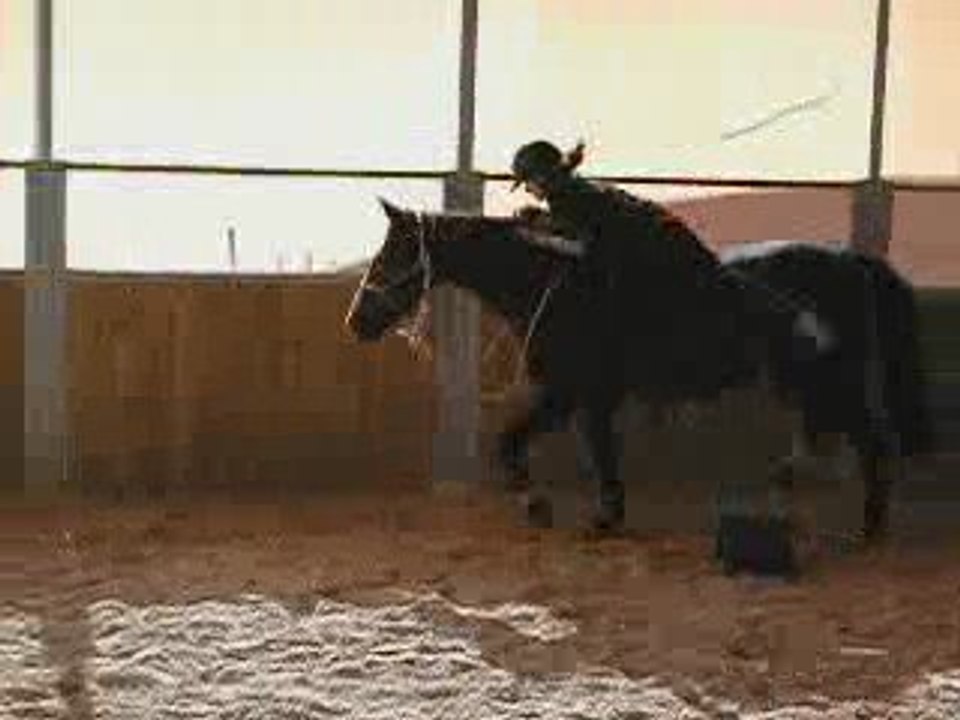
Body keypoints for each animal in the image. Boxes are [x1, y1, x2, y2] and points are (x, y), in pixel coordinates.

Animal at [344, 199, 932, 543]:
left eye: (392, 253)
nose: (357, 321)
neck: (556, 282)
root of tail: (853, 260)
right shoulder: (589, 396)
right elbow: (596, 454)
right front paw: (604, 515)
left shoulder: (568, 391)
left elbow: (515, 443)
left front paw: (545, 507)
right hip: (809, 382)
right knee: (829, 435)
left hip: (831, 381)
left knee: (870, 442)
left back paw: (867, 525)